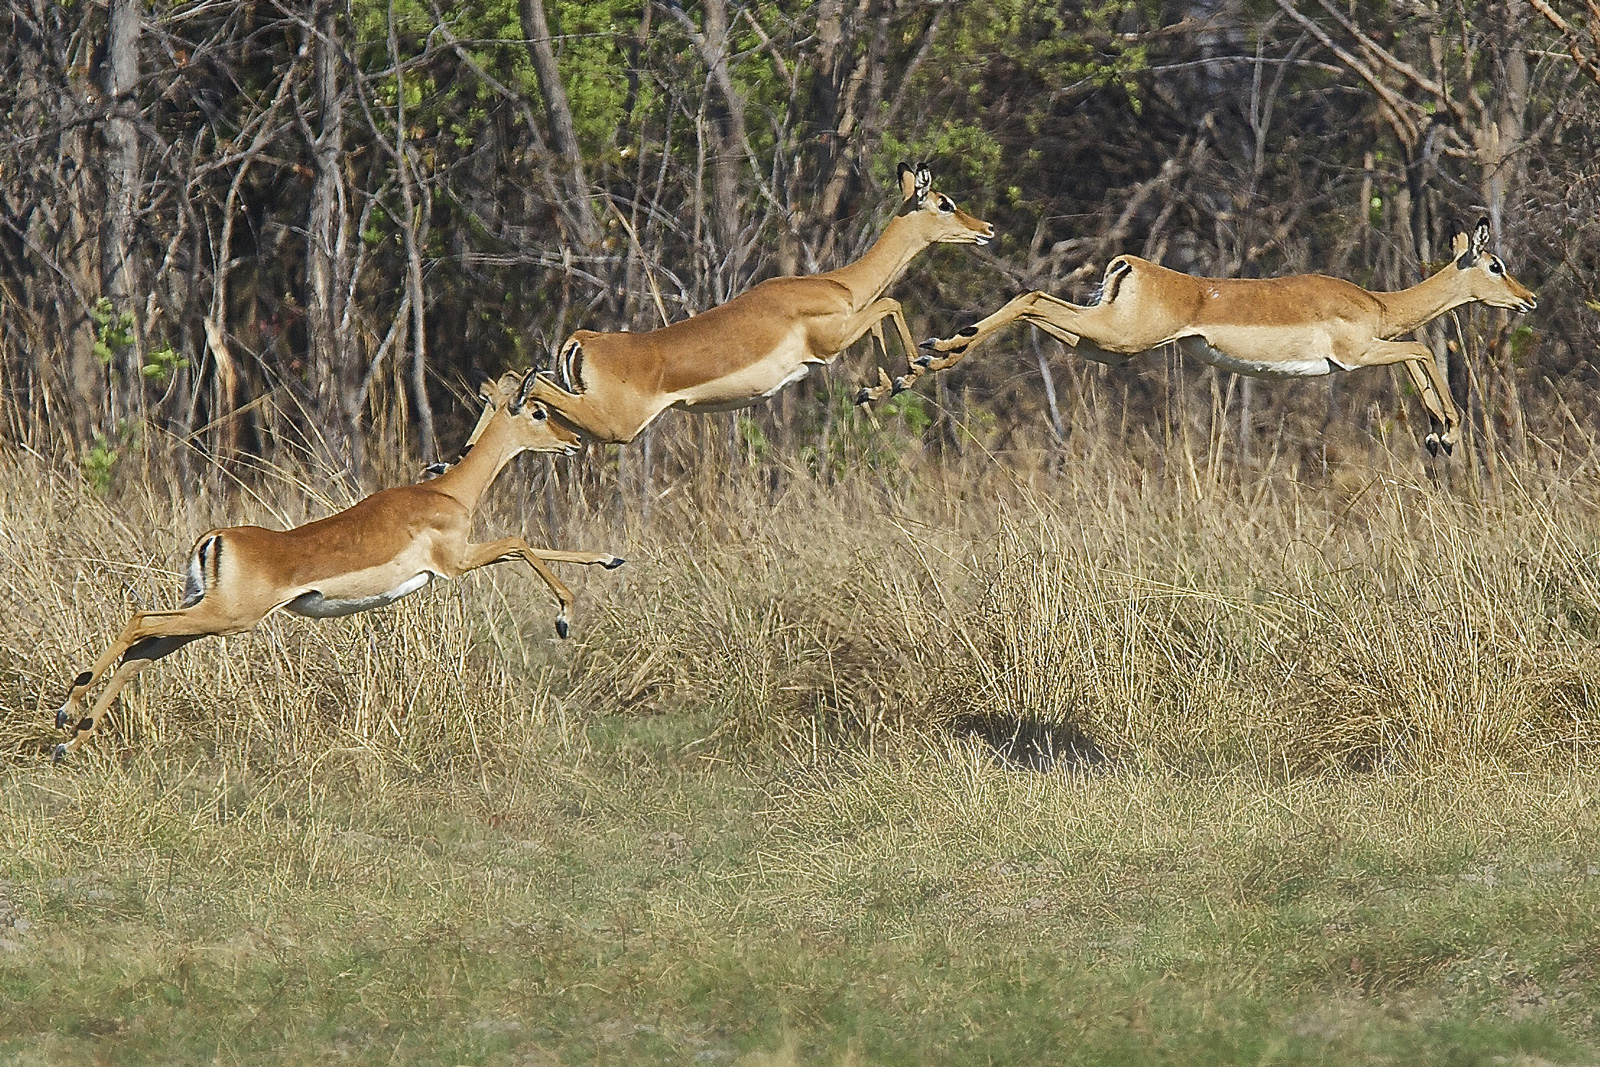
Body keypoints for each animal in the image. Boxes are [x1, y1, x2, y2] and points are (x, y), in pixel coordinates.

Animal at [52, 371, 624, 760]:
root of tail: (214, 539)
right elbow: (520, 541)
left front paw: (609, 558)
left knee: (142, 654)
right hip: (225, 617)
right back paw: (66, 708)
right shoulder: (456, 563)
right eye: (539, 412)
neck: (446, 493)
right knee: (138, 622)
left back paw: (71, 737)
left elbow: (523, 544)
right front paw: (566, 613)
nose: (575, 442)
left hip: (205, 619)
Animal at [495, 163, 993, 445]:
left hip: (590, 422)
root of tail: (585, 340)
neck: (837, 284)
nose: (986, 228)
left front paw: (882, 384)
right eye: (944, 202)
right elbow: (890, 302)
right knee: (523, 383)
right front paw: (917, 368)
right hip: (615, 426)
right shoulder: (830, 343)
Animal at [877, 218, 1536, 455]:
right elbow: (1422, 349)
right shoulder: (1357, 355)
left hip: (1100, 345)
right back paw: (928, 358)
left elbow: (1419, 358)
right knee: (1032, 297)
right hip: (1118, 339)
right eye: (1495, 263)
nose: (1528, 299)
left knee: (1036, 305)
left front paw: (1438, 433)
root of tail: (1130, 264)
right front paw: (1445, 432)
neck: (1376, 303)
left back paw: (917, 366)